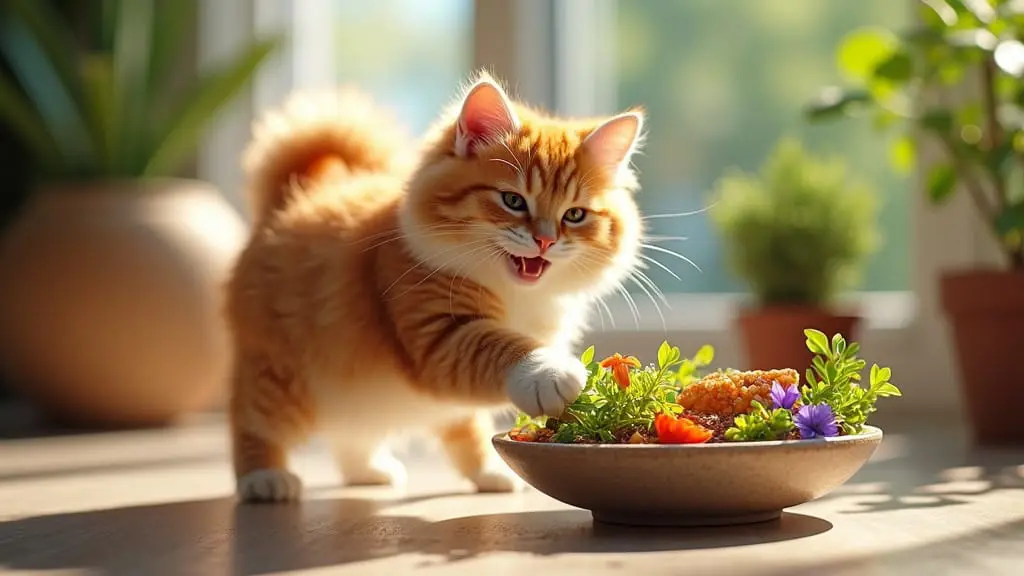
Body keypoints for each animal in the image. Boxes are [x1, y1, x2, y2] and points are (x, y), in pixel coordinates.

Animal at [227, 70, 643, 498]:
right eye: (513, 201)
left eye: (574, 215)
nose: (545, 241)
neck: (515, 293)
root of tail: (292, 198)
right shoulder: (437, 332)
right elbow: (502, 345)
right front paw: (549, 372)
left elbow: (474, 413)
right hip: (278, 373)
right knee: (253, 422)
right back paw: (264, 478)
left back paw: (398, 470)